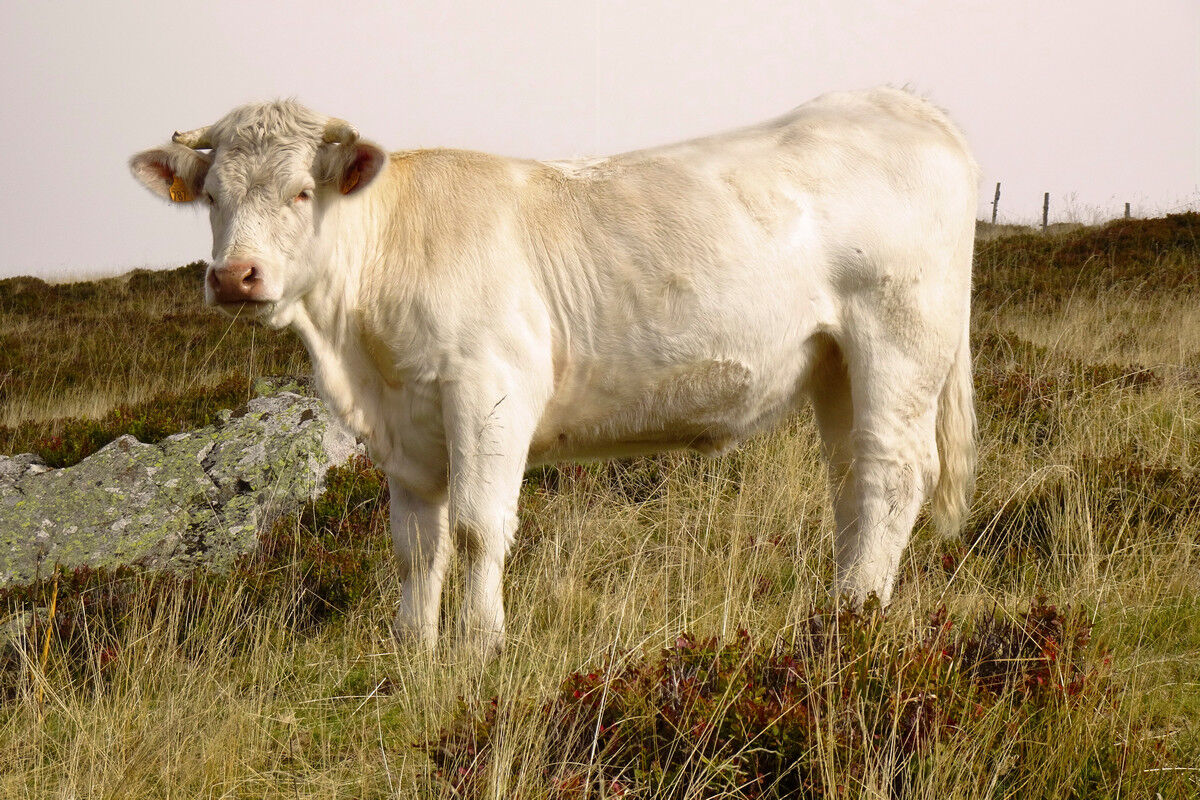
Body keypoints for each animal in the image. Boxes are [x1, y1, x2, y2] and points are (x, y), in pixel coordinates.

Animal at [130, 87, 978, 654]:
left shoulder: (490, 387)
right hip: (837, 361)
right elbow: (416, 543)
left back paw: (859, 611)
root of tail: (897, 102)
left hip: (900, 338)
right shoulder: (404, 429)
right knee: (850, 480)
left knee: (892, 473)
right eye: (211, 195)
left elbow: (477, 527)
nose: (234, 277)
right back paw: (839, 606)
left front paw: (480, 646)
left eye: (303, 191)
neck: (359, 352)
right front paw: (413, 649)